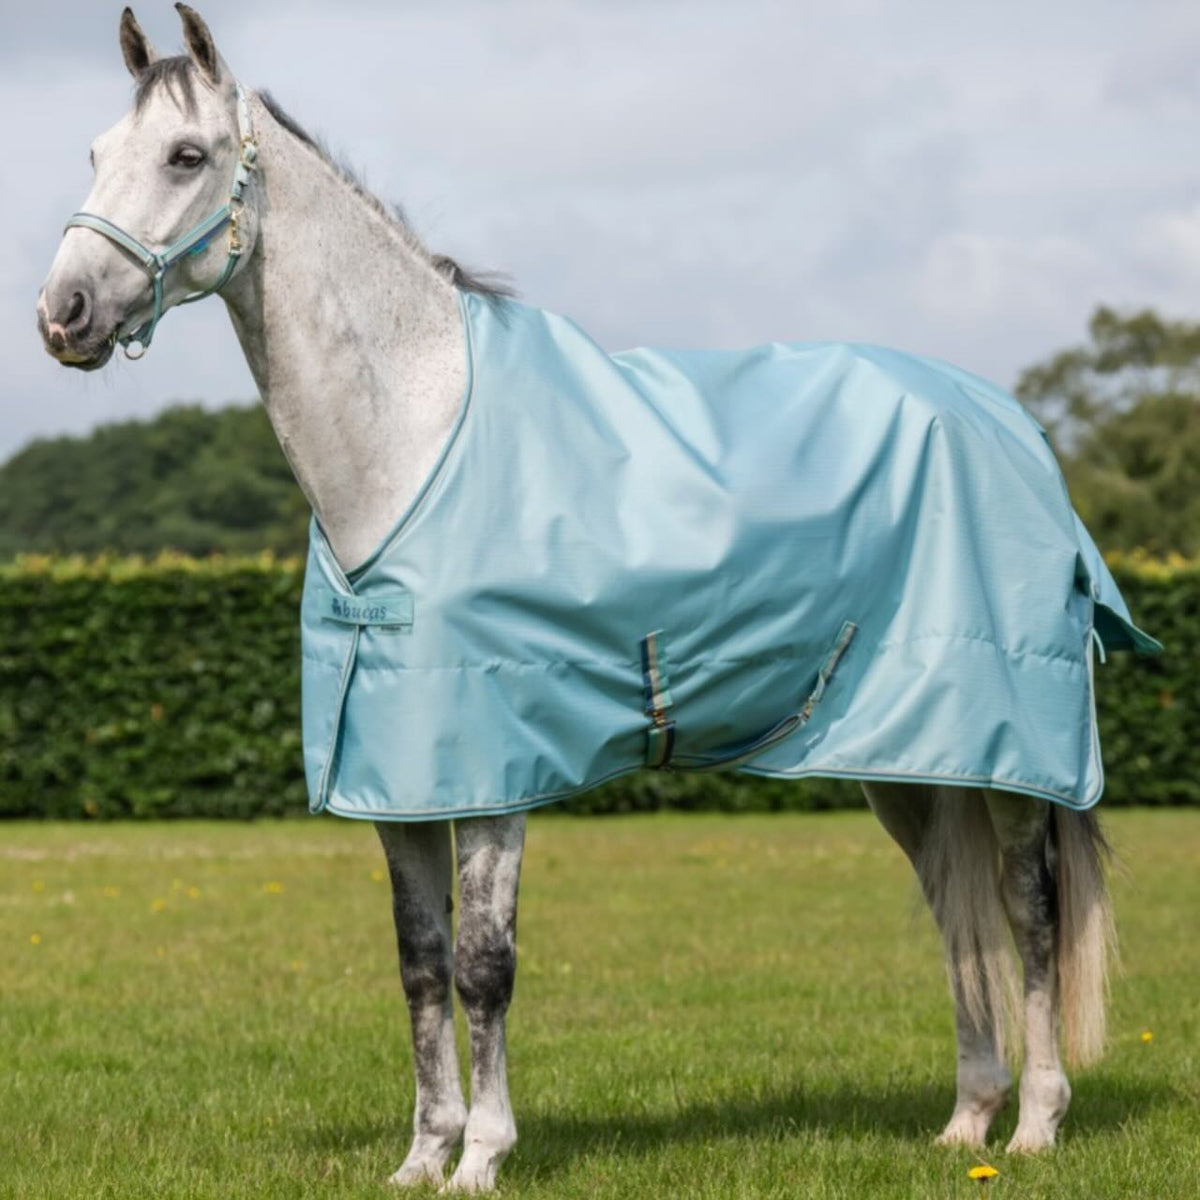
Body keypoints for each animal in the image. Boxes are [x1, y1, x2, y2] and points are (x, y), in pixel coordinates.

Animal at [37, 7, 1144, 1192]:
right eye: (94, 153)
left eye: (184, 155)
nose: (63, 315)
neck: (414, 445)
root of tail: (1015, 428)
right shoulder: (400, 786)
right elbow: (420, 964)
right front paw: (422, 1157)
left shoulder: (493, 779)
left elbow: (484, 965)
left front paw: (483, 1155)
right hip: (912, 760)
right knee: (957, 911)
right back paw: (965, 1121)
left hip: (1012, 760)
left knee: (1028, 912)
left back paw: (1034, 1124)